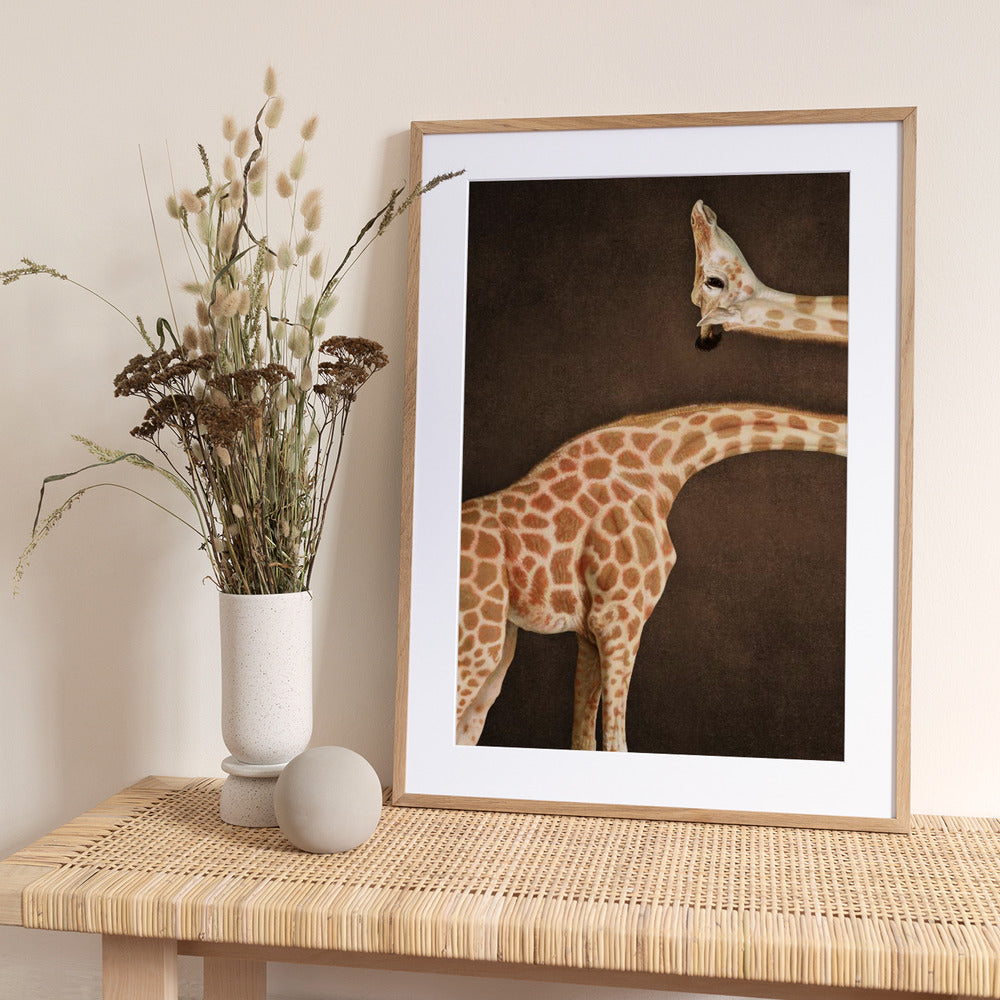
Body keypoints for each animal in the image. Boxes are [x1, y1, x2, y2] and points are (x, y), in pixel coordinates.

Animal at [456, 402, 846, 752]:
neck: (664, 465)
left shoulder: (590, 632)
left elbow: (583, 741)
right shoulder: (618, 619)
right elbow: (616, 743)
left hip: (499, 648)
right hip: (478, 643)